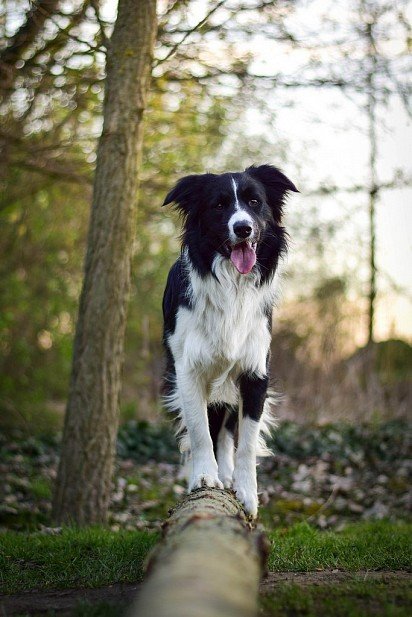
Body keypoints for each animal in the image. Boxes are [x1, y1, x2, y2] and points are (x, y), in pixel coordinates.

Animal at [160, 164, 296, 516]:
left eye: (254, 201)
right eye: (219, 205)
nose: (243, 228)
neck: (232, 284)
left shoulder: (255, 372)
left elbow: (245, 441)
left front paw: (247, 493)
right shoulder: (187, 370)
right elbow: (199, 431)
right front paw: (204, 477)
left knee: (225, 430)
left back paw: (227, 472)